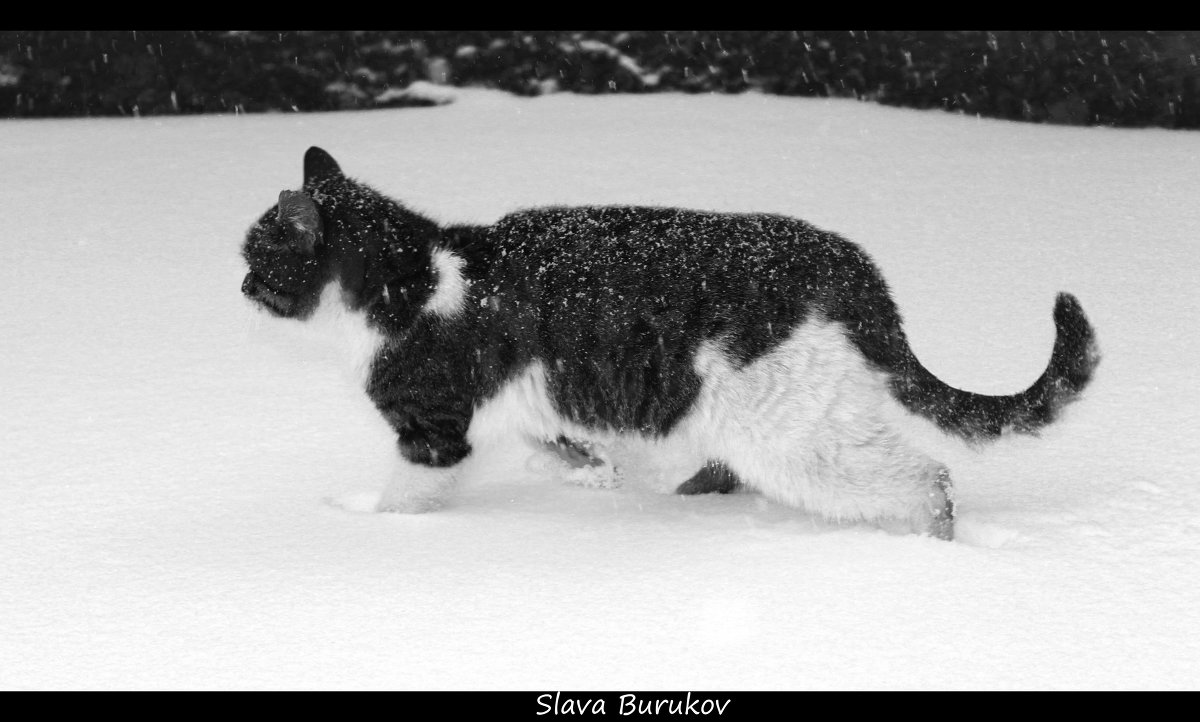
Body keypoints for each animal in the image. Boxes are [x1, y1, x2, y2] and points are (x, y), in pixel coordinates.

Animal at [241, 147, 1099, 539]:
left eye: (255, 257)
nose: (239, 288)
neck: (412, 277)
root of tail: (845, 260)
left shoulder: (432, 429)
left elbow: (404, 500)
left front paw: (371, 531)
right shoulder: (550, 405)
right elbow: (580, 451)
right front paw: (592, 477)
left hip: (787, 429)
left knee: (928, 478)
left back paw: (932, 551)